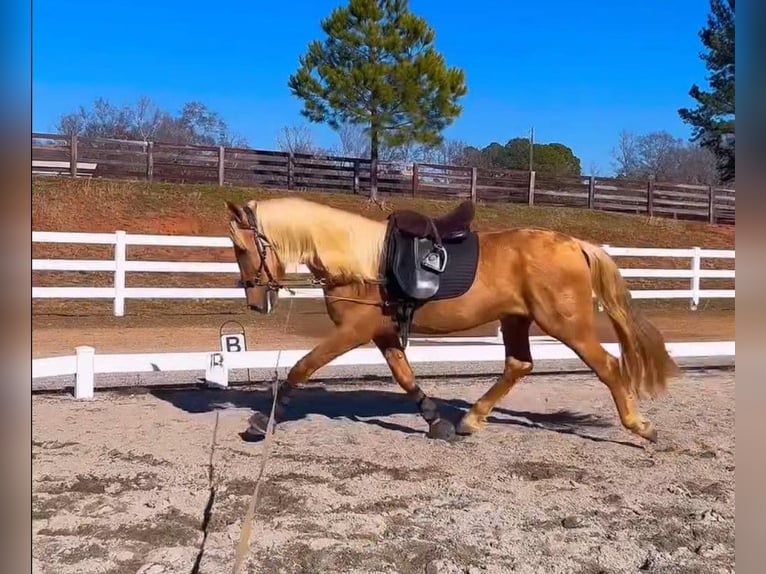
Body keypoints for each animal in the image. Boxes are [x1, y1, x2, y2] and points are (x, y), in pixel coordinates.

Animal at [224, 196, 678, 444]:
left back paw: (640, 426)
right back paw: (470, 420)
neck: (360, 262)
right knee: (518, 365)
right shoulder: (382, 332)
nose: (255, 301)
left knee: (609, 366)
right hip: (516, 320)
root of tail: (575, 244)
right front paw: (435, 419)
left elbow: (302, 367)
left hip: (565, 324)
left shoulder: (354, 331)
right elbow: (405, 377)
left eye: (242, 248)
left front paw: (261, 421)